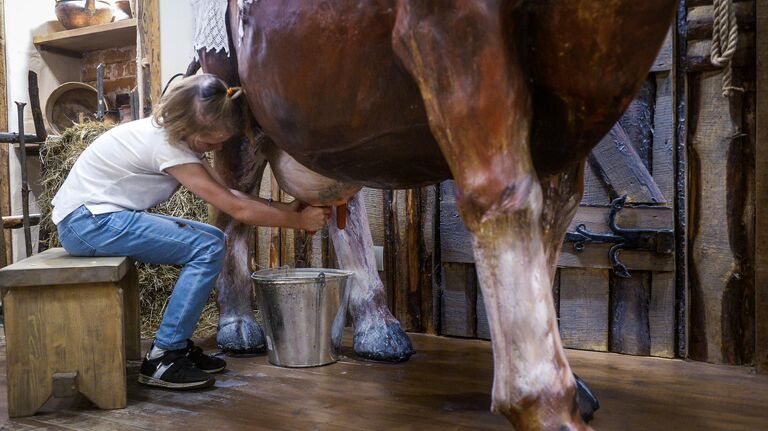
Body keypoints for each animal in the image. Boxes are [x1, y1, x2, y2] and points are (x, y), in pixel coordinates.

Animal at [190, 1, 672, 430]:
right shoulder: (452, 32)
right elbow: (501, 195)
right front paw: (542, 405)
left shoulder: (568, 114)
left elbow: (553, 219)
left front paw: (572, 392)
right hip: (234, 97)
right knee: (232, 201)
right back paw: (238, 327)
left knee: (342, 207)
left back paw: (380, 331)